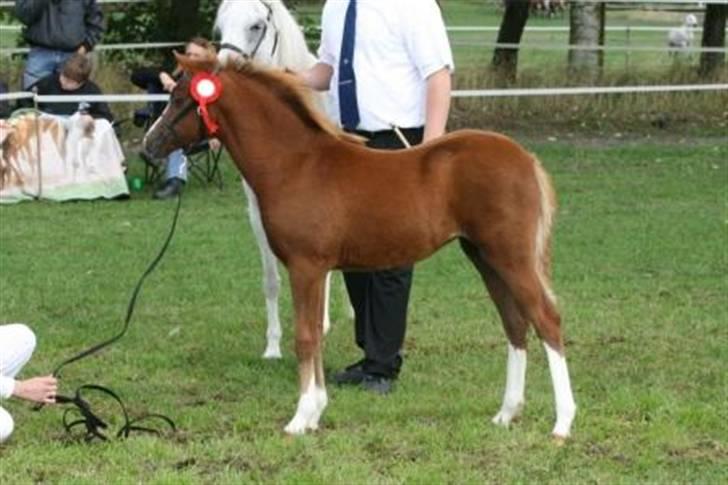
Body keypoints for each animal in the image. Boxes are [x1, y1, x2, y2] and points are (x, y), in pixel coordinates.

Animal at [142, 55, 577, 440]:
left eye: (179, 99)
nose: (148, 146)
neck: (295, 164)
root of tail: (526, 159)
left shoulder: (306, 266)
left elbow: (305, 336)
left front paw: (301, 418)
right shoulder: (316, 269)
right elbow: (315, 335)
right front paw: (316, 411)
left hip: (511, 257)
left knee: (546, 319)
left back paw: (562, 423)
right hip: (484, 257)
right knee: (515, 323)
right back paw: (506, 413)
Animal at [214, 0, 343, 360]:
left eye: (256, 25)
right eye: (220, 27)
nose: (222, 71)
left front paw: (318, 327)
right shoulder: (258, 213)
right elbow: (270, 280)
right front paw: (272, 345)